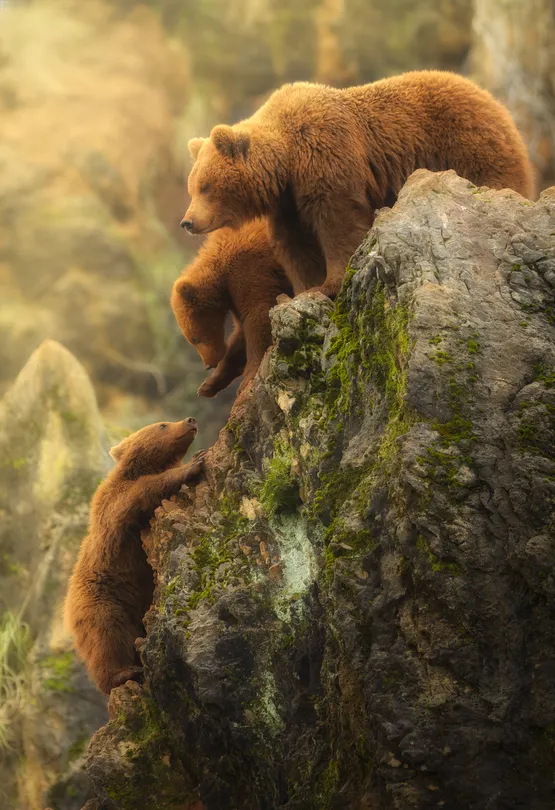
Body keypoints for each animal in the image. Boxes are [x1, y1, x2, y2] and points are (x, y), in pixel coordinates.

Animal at [64, 417, 205, 694]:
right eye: (162, 425)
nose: (190, 420)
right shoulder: (113, 505)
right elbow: (142, 492)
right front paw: (194, 464)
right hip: (101, 598)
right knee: (107, 633)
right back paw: (122, 673)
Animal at [171, 219, 293, 397]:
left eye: (195, 338)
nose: (208, 364)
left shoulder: (250, 270)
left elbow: (258, 316)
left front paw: (247, 378)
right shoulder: (234, 297)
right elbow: (239, 338)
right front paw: (207, 386)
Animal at [181, 70, 535, 299]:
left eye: (206, 185)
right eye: (193, 186)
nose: (187, 221)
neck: (289, 160)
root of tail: (493, 100)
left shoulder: (326, 157)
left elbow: (338, 223)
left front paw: (331, 284)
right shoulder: (288, 202)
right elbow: (295, 246)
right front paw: (305, 290)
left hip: (468, 147)